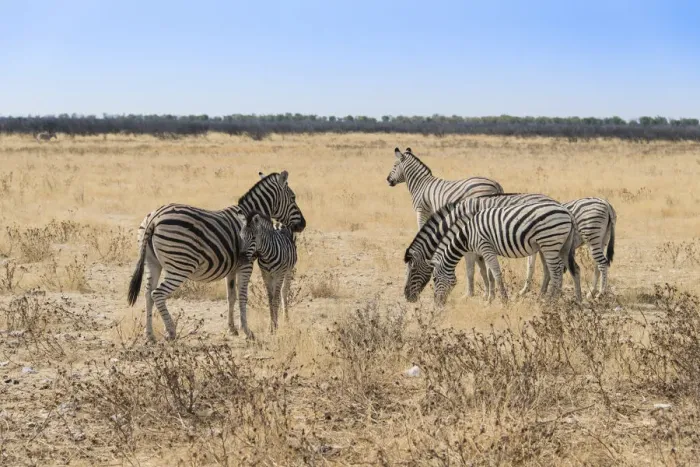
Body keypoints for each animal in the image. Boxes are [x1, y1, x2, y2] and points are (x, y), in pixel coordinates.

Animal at [127, 171, 306, 341]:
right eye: (293, 197)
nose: (303, 225)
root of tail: (154, 218)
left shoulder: (232, 267)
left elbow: (231, 296)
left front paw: (232, 329)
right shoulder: (246, 264)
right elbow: (242, 296)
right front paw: (247, 331)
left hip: (152, 263)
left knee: (147, 294)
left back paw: (149, 335)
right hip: (180, 265)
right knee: (157, 293)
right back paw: (171, 332)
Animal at [403, 193, 559, 302]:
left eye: (413, 270)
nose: (407, 297)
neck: (458, 218)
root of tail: (554, 201)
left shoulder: (471, 247)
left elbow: (472, 271)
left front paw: (471, 295)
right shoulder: (478, 247)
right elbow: (484, 271)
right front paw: (487, 295)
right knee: (546, 269)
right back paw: (539, 295)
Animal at [429, 202, 582, 306]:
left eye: (434, 279)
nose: (437, 303)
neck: (467, 234)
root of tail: (567, 211)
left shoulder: (485, 247)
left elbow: (496, 273)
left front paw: (503, 300)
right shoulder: (487, 250)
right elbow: (490, 275)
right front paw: (490, 299)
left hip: (549, 243)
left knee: (556, 272)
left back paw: (550, 301)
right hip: (563, 246)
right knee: (574, 269)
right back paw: (577, 299)